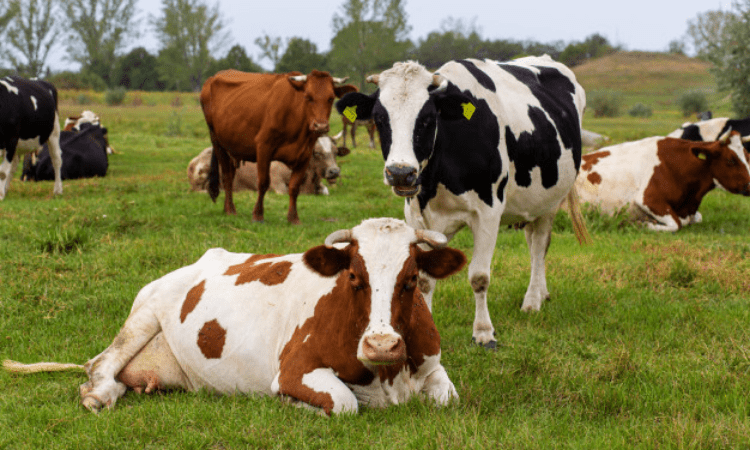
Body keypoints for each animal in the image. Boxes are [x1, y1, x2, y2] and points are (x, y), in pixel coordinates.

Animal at [4, 218, 467, 415]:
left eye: (412, 279)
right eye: (354, 275)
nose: (382, 344)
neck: (388, 377)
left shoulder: (432, 366)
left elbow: (448, 398)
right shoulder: (295, 369)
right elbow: (344, 403)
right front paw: (296, 405)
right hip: (145, 312)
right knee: (100, 363)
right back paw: (99, 394)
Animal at [335, 56, 588, 348]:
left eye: (427, 119)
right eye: (379, 118)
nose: (400, 172)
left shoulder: (488, 212)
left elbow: (479, 276)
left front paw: (484, 332)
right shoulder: (416, 216)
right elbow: (424, 279)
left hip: (551, 200)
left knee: (539, 247)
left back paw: (532, 300)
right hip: (531, 202)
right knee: (534, 242)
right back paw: (542, 293)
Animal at [575, 131, 750, 232]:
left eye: (748, 156)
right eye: (731, 160)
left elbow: (697, 218)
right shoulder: (648, 199)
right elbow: (676, 225)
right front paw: (642, 223)